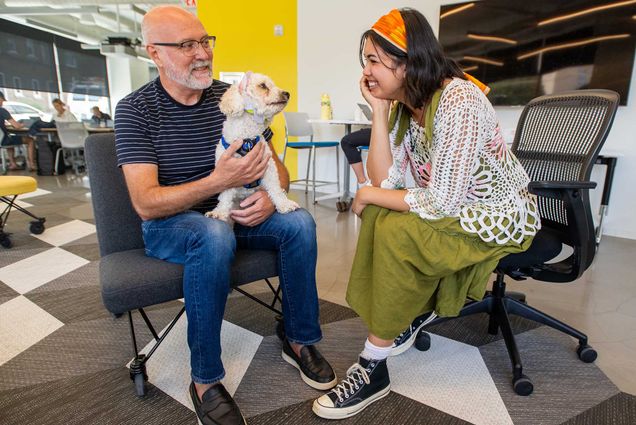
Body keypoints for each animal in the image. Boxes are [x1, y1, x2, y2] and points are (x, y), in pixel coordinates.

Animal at [206, 72, 300, 225]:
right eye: (263, 86)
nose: (287, 93)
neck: (247, 139)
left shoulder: (269, 167)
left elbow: (275, 188)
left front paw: (284, 204)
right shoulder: (226, 174)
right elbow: (225, 196)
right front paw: (219, 212)